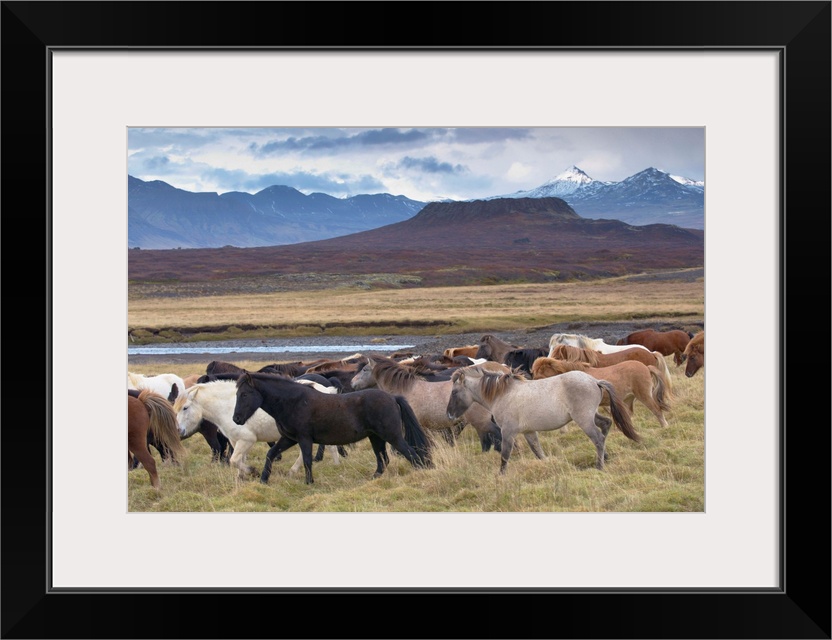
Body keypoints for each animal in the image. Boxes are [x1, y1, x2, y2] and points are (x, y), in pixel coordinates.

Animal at [175, 379, 343, 480]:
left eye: (185, 408)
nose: (179, 432)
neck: (228, 407)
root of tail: (326, 390)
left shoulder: (247, 440)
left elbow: (234, 460)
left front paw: (252, 471)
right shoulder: (236, 441)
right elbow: (238, 460)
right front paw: (241, 478)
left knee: (330, 448)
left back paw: (335, 467)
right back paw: (293, 471)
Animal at [233, 371, 433, 485]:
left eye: (245, 394)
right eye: (238, 394)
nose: (236, 419)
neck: (293, 402)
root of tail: (392, 397)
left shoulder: (304, 438)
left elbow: (307, 460)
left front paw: (309, 483)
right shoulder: (289, 438)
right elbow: (271, 454)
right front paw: (263, 479)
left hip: (392, 436)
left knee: (411, 454)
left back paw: (420, 475)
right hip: (376, 437)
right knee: (383, 459)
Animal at [447, 366, 640, 475]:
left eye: (454, 392)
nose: (449, 414)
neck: (503, 394)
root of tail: (594, 381)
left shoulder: (508, 432)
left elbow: (505, 455)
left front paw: (500, 476)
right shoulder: (529, 432)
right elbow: (538, 451)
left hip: (583, 419)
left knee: (598, 438)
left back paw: (599, 466)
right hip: (591, 416)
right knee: (606, 425)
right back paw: (605, 458)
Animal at [531, 357, 673, 428]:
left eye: (541, 376)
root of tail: (646, 367)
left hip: (644, 395)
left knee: (656, 410)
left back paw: (665, 427)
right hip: (628, 399)